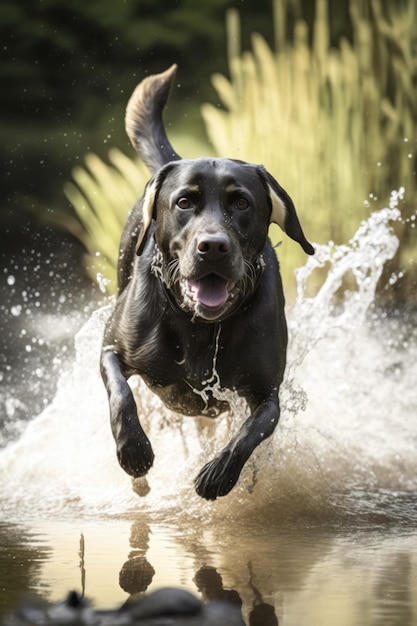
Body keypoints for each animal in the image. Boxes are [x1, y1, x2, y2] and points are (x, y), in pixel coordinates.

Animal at [100, 66, 312, 500]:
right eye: (184, 202)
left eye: (242, 202)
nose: (212, 246)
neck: (201, 326)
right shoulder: (111, 347)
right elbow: (121, 394)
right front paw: (134, 451)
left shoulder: (267, 392)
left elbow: (252, 429)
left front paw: (218, 473)